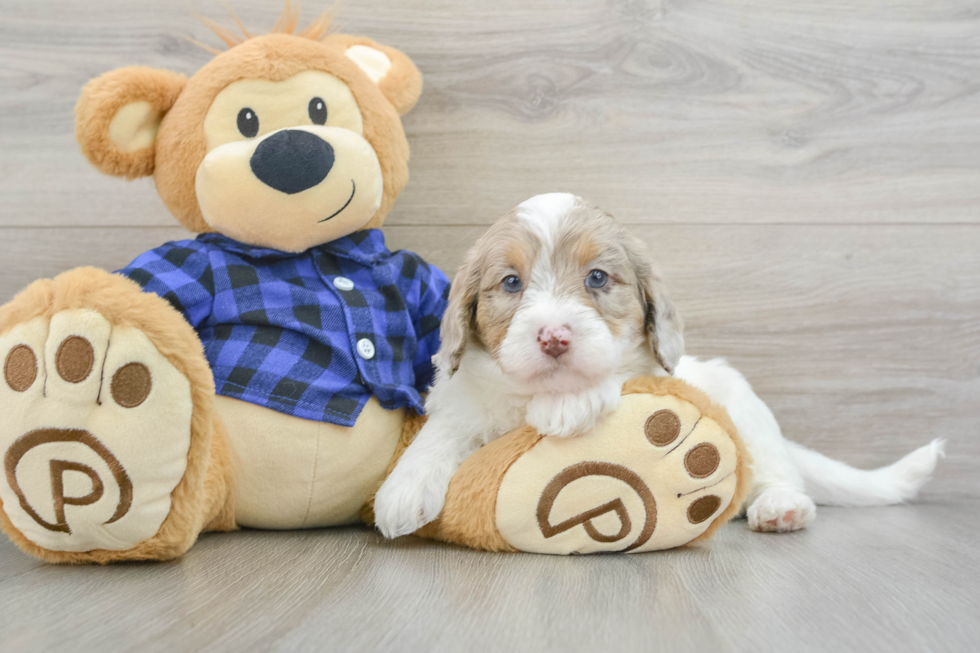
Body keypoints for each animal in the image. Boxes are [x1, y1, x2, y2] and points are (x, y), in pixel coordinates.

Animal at [372, 191, 944, 536]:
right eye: (511, 282)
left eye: (598, 278)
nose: (554, 337)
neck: (532, 393)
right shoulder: (466, 396)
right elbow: (444, 430)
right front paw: (403, 488)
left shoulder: (648, 372)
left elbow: (615, 374)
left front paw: (570, 403)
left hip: (746, 410)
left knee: (776, 473)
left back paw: (781, 507)